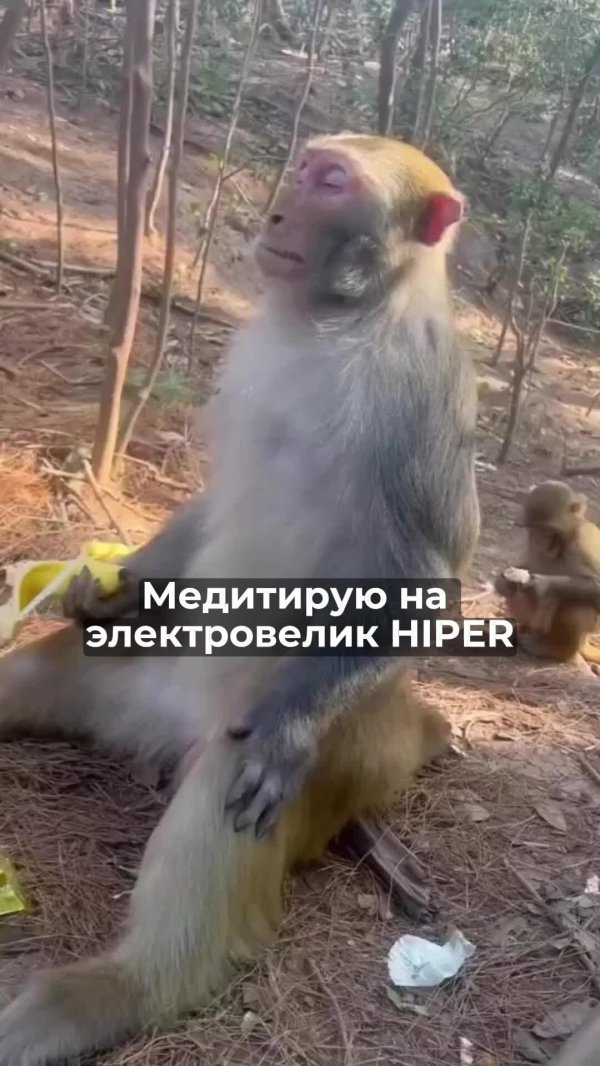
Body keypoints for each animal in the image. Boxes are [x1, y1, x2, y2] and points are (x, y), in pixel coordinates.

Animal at [0, 133, 479, 1064]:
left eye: (332, 182)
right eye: (307, 167)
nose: (278, 213)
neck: (339, 321)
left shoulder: (420, 396)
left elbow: (427, 581)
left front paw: (288, 731)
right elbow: (213, 498)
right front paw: (106, 585)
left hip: (294, 744)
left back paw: (107, 994)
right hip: (134, 676)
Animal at [496, 480, 600, 666]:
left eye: (547, 530)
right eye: (533, 529)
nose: (540, 540)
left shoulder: (586, 538)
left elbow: (596, 585)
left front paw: (540, 584)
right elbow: (526, 564)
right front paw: (502, 582)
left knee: (577, 606)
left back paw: (554, 649)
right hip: (534, 621)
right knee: (516, 595)